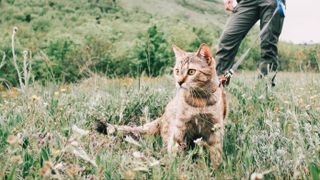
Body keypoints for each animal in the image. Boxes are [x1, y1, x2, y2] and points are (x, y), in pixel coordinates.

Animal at [95, 43, 228, 167]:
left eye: (191, 71)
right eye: (177, 71)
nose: (179, 82)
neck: (200, 101)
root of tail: (161, 117)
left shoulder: (215, 128)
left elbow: (216, 153)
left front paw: (217, 169)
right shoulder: (180, 127)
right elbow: (176, 150)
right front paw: (174, 167)